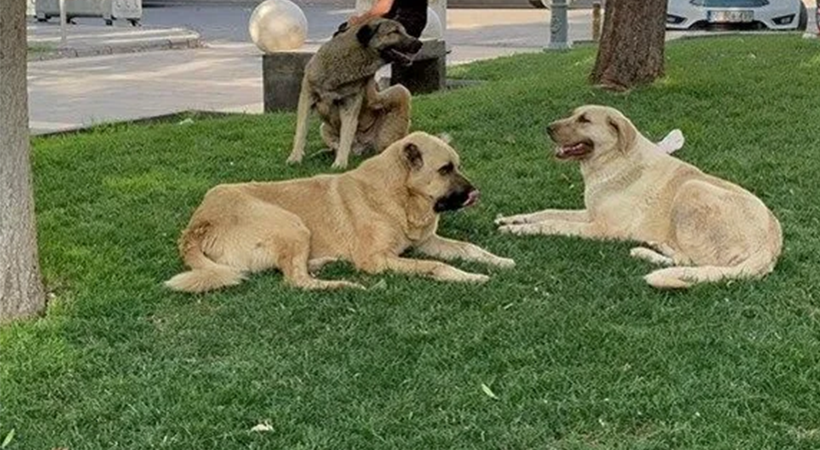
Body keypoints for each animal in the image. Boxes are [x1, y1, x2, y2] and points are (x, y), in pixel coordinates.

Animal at [166, 131, 512, 292]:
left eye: (457, 166)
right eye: (445, 169)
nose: (476, 193)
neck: (398, 196)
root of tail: (199, 223)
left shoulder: (426, 242)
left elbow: (469, 248)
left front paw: (498, 260)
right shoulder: (377, 260)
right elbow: (435, 267)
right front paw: (470, 276)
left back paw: (322, 263)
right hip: (291, 223)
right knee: (296, 281)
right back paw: (344, 284)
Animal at [494, 105, 780, 288]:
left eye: (584, 120)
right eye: (573, 115)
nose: (548, 128)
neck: (614, 160)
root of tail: (769, 248)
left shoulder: (601, 228)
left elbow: (553, 224)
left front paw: (517, 230)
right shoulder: (589, 213)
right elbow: (547, 212)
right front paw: (511, 219)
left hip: (692, 188)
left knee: (692, 261)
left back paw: (647, 252)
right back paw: (655, 246)